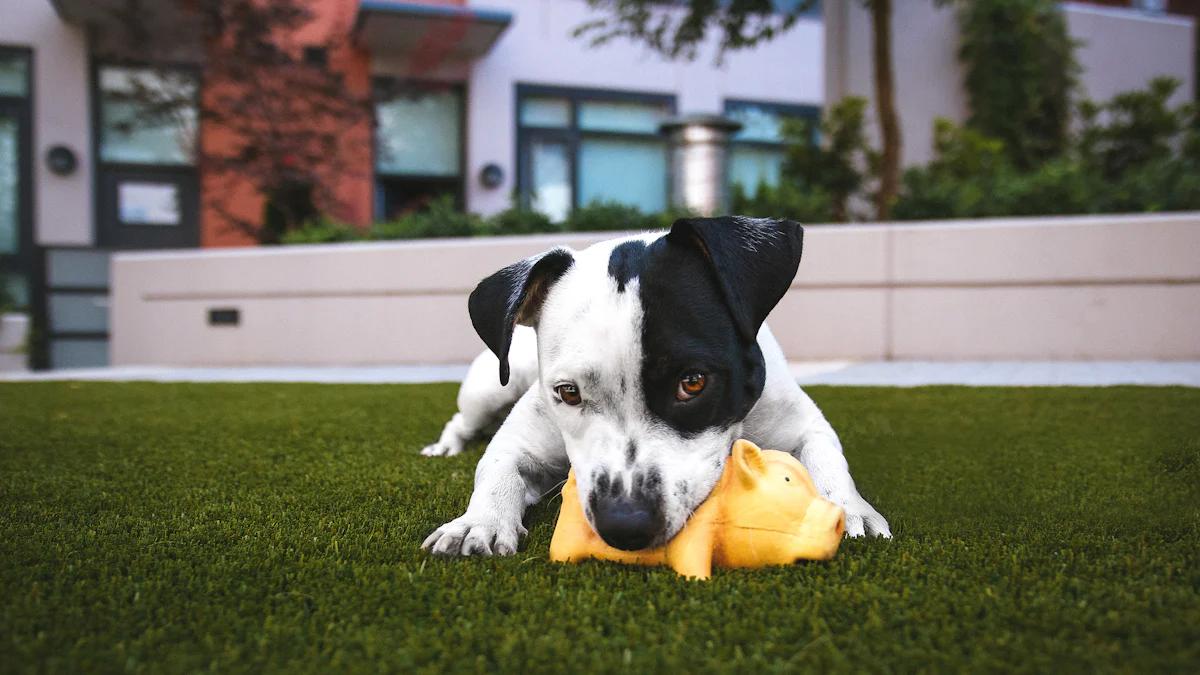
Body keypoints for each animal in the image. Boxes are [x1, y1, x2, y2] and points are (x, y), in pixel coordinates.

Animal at [417, 216, 888, 557]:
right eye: (568, 392)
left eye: (692, 382)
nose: (625, 525)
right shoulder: (519, 442)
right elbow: (498, 471)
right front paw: (478, 522)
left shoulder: (802, 423)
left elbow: (827, 459)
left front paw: (849, 508)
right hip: (490, 387)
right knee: (462, 419)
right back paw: (445, 447)